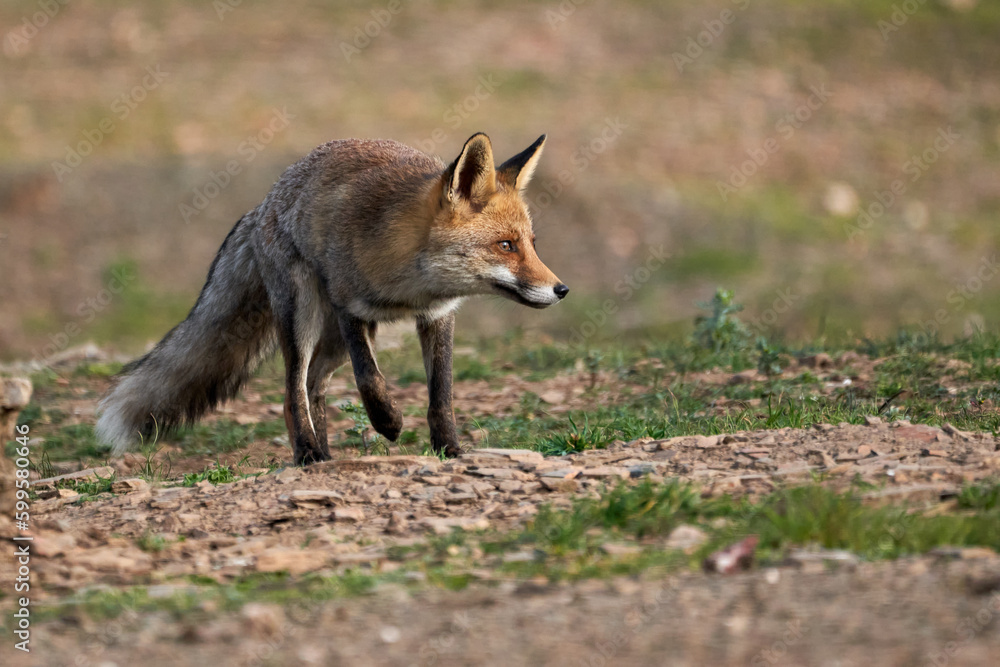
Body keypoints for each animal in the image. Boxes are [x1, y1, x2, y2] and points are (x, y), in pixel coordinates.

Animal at [96, 130, 568, 464]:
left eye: (531, 244)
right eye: (505, 246)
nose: (561, 290)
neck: (410, 286)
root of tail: (261, 205)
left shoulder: (437, 315)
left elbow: (442, 395)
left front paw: (449, 449)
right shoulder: (349, 308)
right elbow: (370, 379)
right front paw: (388, 422)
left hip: (335, 339)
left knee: (312, 385)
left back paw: (323, 451)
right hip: (302, 317)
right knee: (293, 392)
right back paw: (308, 454)